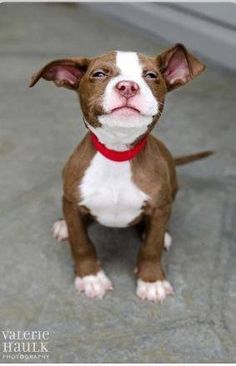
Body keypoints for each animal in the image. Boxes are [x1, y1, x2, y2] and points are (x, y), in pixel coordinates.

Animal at [30, 43, 213, 304]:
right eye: (99, 74)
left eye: (151, 75)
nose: (128, 86)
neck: (117, 153)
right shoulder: (72, 202)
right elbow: (81, 242)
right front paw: (91, 277)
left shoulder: (159, 207)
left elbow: (151, 247)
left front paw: (152, 281)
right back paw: (63, 226)